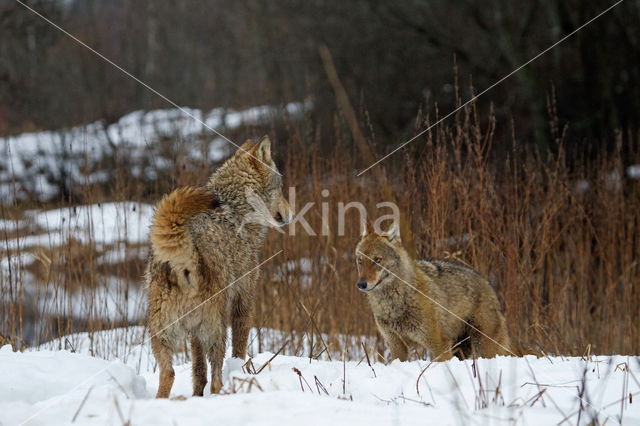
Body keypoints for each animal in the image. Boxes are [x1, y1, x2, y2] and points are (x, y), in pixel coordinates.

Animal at [146, 137, 292, 400]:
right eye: (281, 187)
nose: (291, 214)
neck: (236, 208)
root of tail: (184, 258)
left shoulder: (194, 333)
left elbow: (198, 370)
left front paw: (196, 396)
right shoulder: (243, 300)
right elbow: (239, 350)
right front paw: (242, 371)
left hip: (162, 335)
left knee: (169, 374)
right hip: (216, 329)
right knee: (216, 376)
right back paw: (222, 393)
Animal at [356, 221, 516, 362]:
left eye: (377, 260)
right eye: (360, 261)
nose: (361, 284)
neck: (393, 304)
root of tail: (488, 284)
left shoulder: (438, 344)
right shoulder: (396, 345)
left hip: (483, 347)